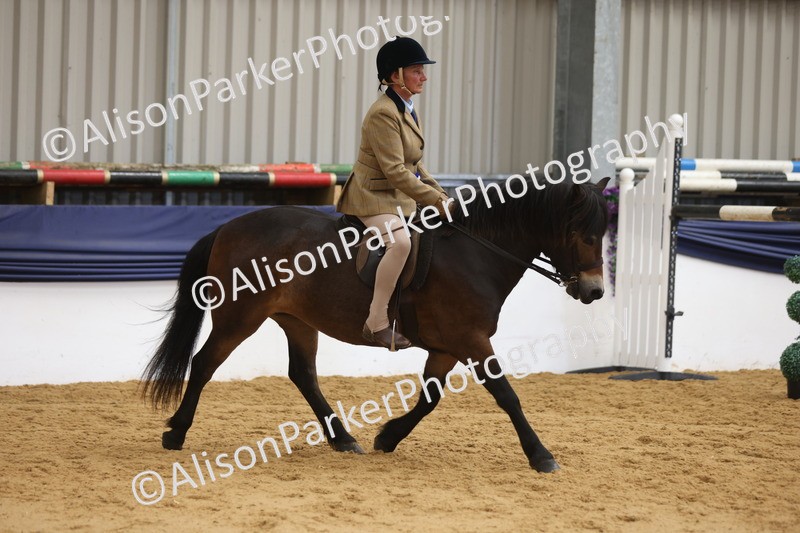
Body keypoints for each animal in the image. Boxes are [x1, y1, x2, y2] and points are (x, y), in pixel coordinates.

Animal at [141, 176, 611, 473]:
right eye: (581, 234)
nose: (594, 292)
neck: (477, 251)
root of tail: (227, 227)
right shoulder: (472, 340)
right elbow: (506, 395)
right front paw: (541, 455)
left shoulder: (447, 347)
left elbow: (430, 398)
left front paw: (388, 437)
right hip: (240, 317)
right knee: (204, 364)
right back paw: (176, 433)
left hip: (297, 320)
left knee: (303, 374)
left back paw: (343, 439)